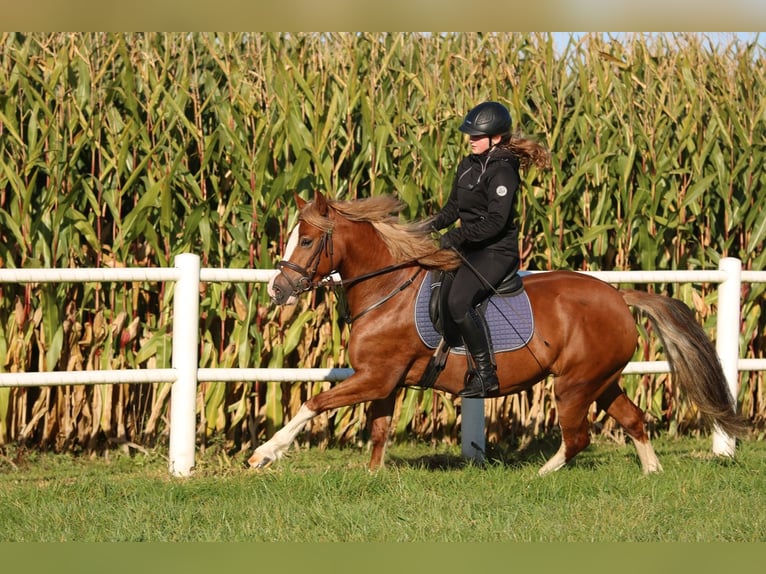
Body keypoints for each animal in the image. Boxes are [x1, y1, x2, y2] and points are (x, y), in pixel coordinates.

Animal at [250, 191, 752, 474]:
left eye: (308, 240)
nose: (278, 290)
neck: (387, 290)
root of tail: (617, 296)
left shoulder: (375, 378)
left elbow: (313, 404)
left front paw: (264, 453)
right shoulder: (385, 381)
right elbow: (378, 431)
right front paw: (371, 478)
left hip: (573, 386)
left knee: (578, 438)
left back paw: (539, 478)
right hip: (602, 380)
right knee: (633, 420)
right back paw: (651, 474)